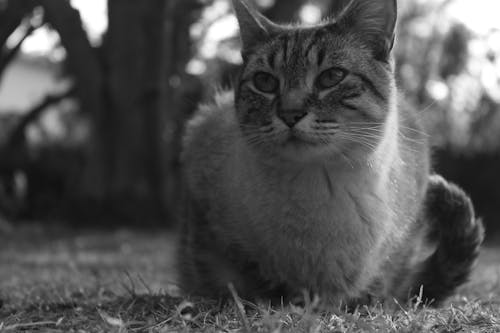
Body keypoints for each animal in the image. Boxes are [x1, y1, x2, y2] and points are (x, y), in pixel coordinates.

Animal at [177, 0, 484, 306]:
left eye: (331, 77)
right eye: (265, 82)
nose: (290, 114)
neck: (318, 188)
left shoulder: (403, 239)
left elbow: (380, 280)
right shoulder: (205, 214)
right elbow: (249, 276)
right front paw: (283, 301)